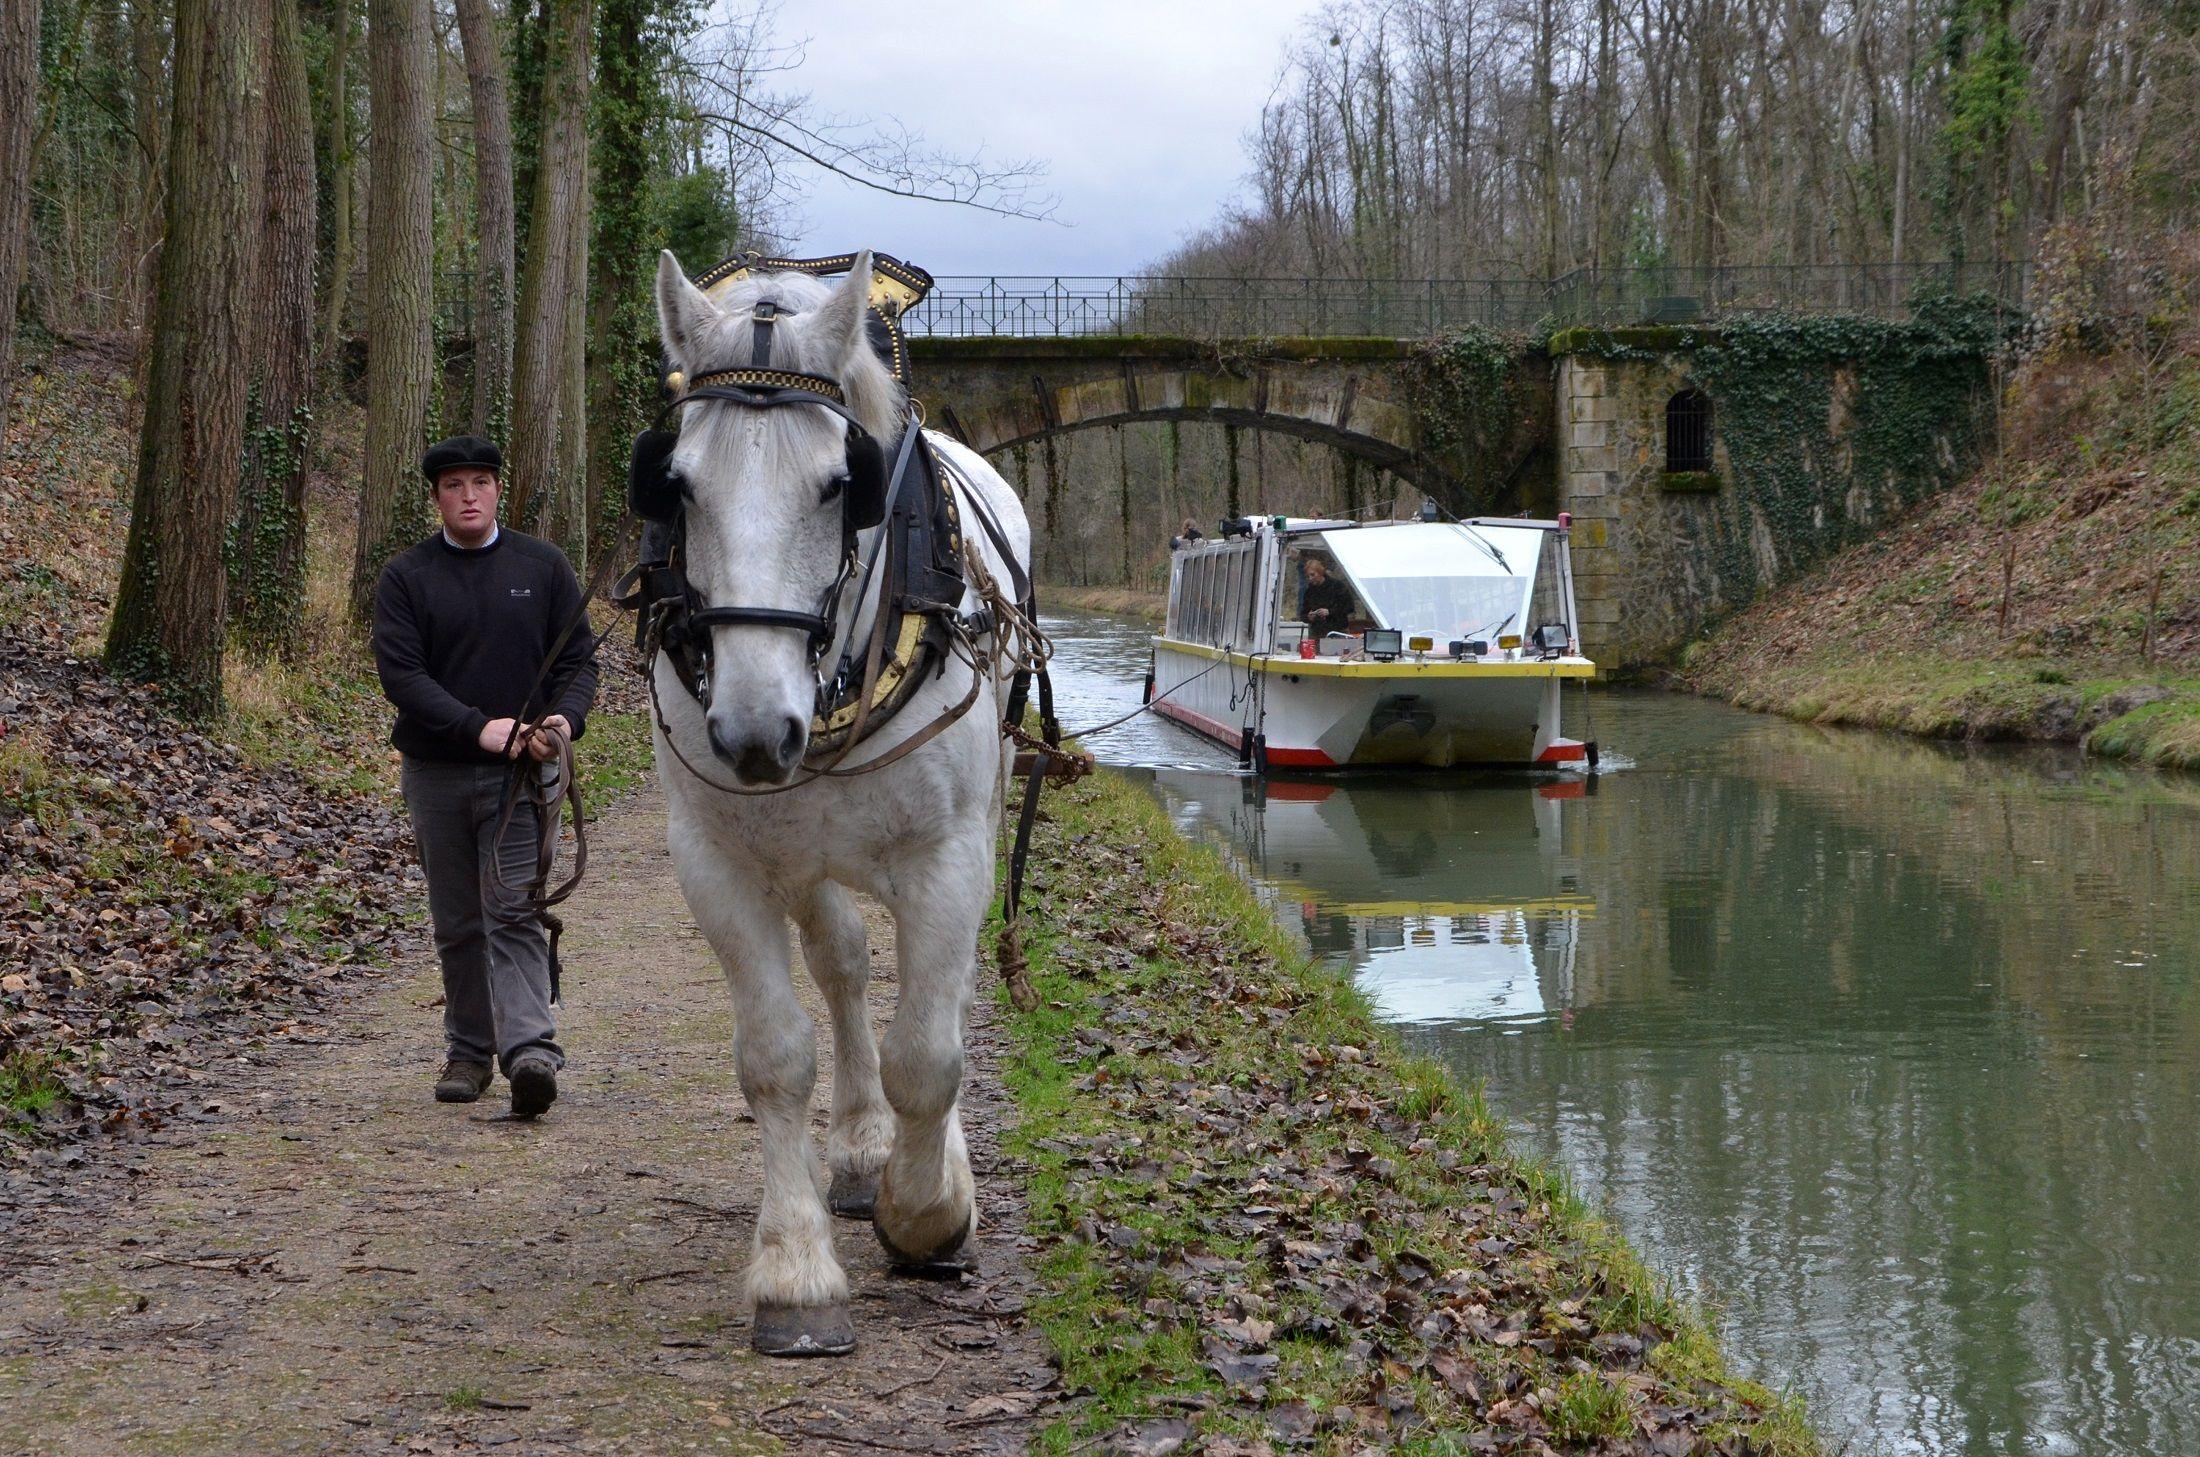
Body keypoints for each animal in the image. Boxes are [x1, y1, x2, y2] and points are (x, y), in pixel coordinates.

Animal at [644, 250, 1031, 1358]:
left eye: (837, 485)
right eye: (676, 484)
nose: (751, 732)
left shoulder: (947, 854)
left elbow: (929, 1054)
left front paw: (930, 1212)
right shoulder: (717, 862)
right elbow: (777, 1056)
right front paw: (794, 1272)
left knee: (932, 1002)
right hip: (806, 855)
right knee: (848, 966)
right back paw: (859, 1150)